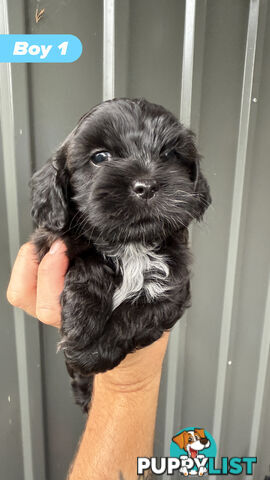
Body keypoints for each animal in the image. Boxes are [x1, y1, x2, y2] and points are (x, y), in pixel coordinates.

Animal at [30, 98, 211, 412]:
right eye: (100, 157)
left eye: (168, 154)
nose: (146, 185)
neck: (132, 244)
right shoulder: (49, 243)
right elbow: (87, 259)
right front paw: (81, 319)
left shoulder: (174, 286)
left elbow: (139, 313)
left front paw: (89, 353)